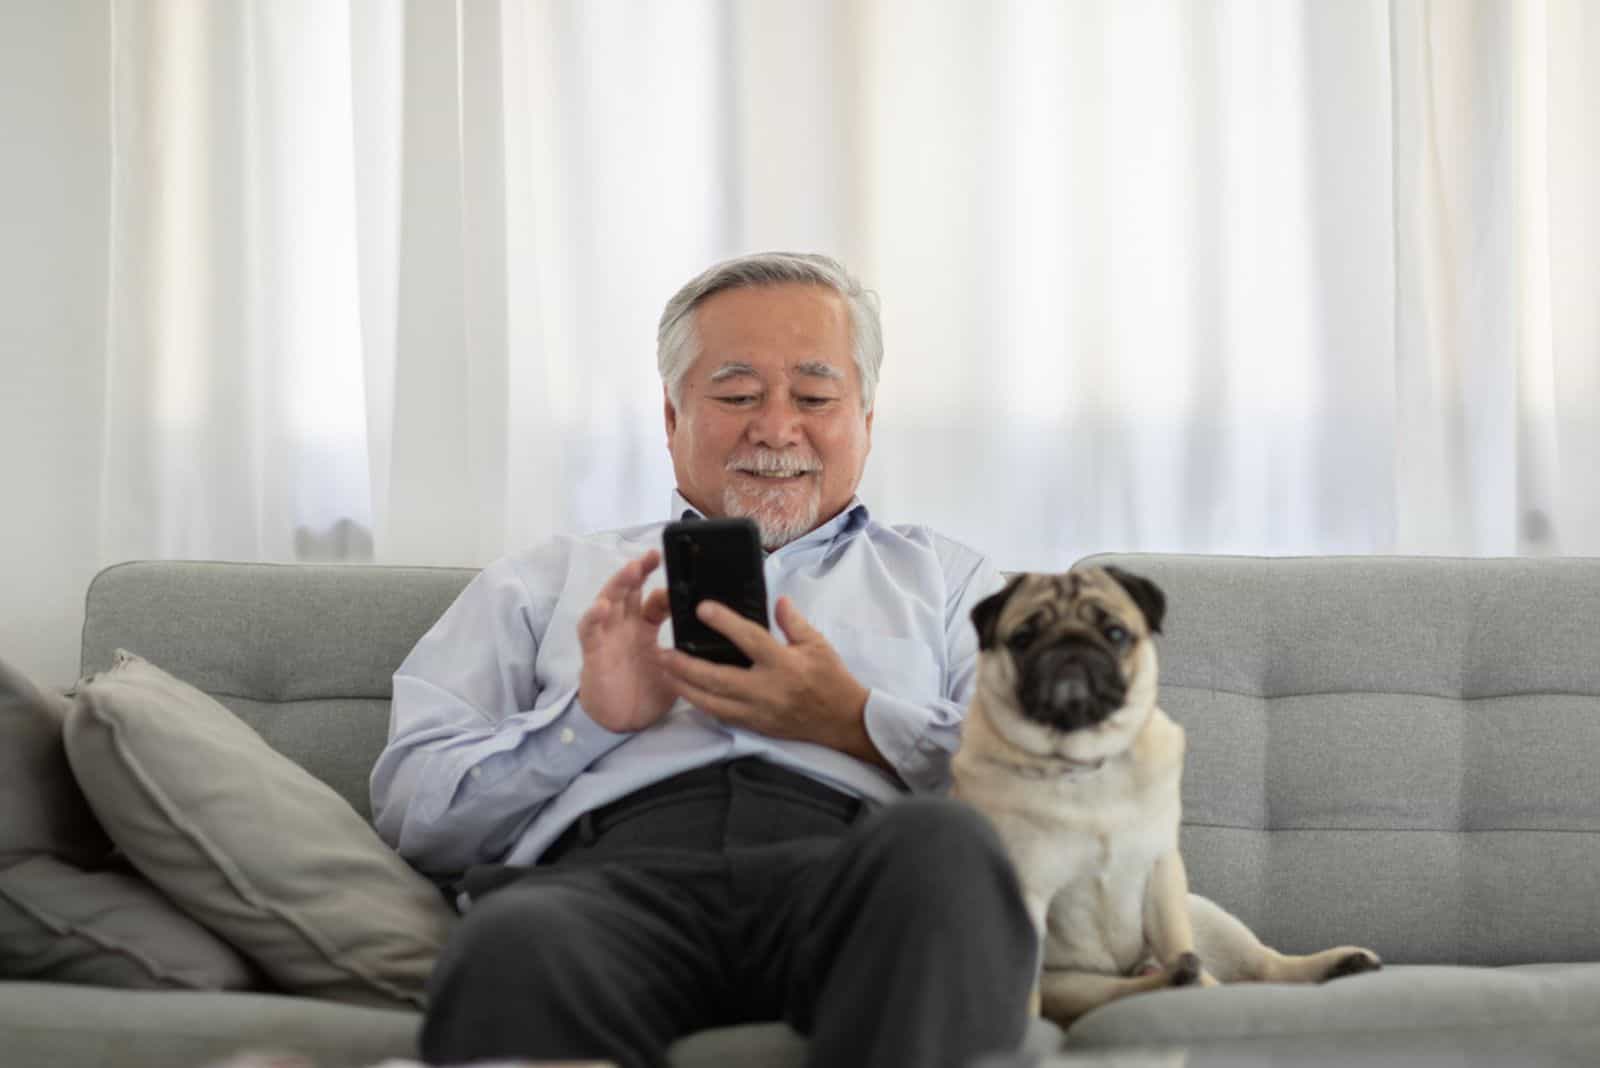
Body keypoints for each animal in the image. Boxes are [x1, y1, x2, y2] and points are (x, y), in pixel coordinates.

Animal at [947, 565, 1376, 1023]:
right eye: (1023, 639)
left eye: (1115, 633)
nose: (1071, 646)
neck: (1087, 766)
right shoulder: (1027, 892)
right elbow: (1023, 988)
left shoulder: (1160, 870)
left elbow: (1176, 938)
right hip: (1074, 983)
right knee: (1124, 988)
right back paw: (1171, 977)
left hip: (1205, 914)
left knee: (1262, 965)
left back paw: (1336, 963)